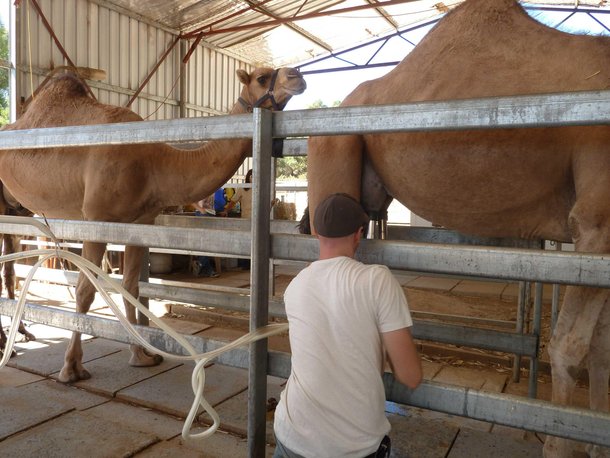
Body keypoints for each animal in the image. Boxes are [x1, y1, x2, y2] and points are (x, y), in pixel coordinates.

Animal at [0, 65, 304, 382]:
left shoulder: (140, 222)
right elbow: (85, 291)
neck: (151, 162)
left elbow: (131, 288)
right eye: (261, 78)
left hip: (18, 209)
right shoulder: (96, 218)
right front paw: (71, 367)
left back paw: (19, 335)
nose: (297, 76)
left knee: (8, 268)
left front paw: (142, 355)